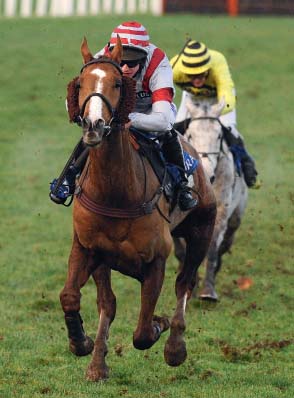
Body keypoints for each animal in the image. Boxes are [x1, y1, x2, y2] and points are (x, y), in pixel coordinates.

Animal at [59, 38, 216, 382]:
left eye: (117, 83)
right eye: (81, 83)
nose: (93, 125)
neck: (117, 193)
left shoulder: (156, 259)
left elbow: (143, 332)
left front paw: (160, 324)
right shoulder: (89, 247)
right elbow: (76, 298)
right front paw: (83, 345)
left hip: (202, 230)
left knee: (185, 283)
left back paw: (175, 346)